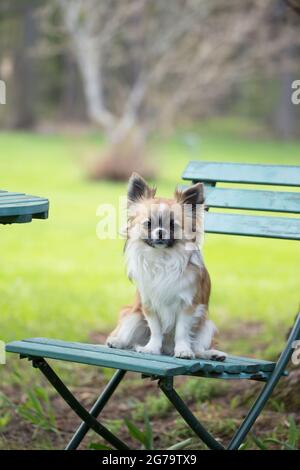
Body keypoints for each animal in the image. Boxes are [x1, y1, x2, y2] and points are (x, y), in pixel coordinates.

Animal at [106, 173, 226, 360]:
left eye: (172, 225)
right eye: (148, 224)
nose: (161, 232)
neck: (162, 258)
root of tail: (167, 349)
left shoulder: (188, 306)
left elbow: (182, 332)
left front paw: (183, 350)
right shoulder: (148, 304)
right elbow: (156, 330)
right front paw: (151, 348)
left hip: (206, 325)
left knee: (198, 348)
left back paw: (212, 354)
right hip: (132, 315)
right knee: (129, 337)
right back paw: (118, 341)